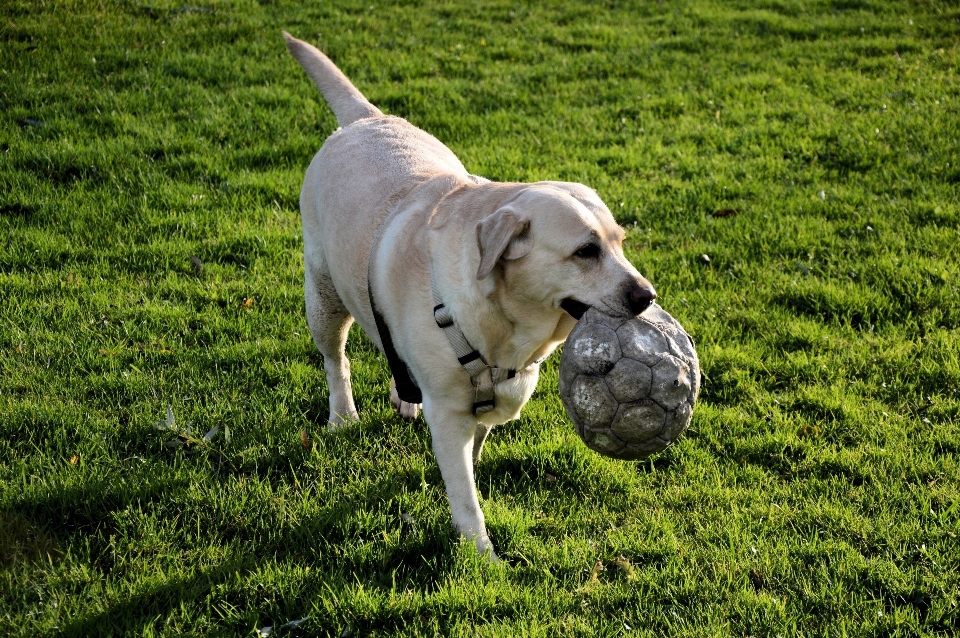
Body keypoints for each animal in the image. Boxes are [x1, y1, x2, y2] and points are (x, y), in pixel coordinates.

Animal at [282, 33, 656, 560]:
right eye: (586, 251)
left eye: (620, 242)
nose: (647, 295)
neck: (504, 327)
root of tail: (365, 117)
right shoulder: (450, 415)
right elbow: (465, 495)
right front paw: (484, 556)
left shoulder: (484, 408)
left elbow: (472, 460)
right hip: (323, 295)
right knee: (337, 361)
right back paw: (343, 416)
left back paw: (402, 398)